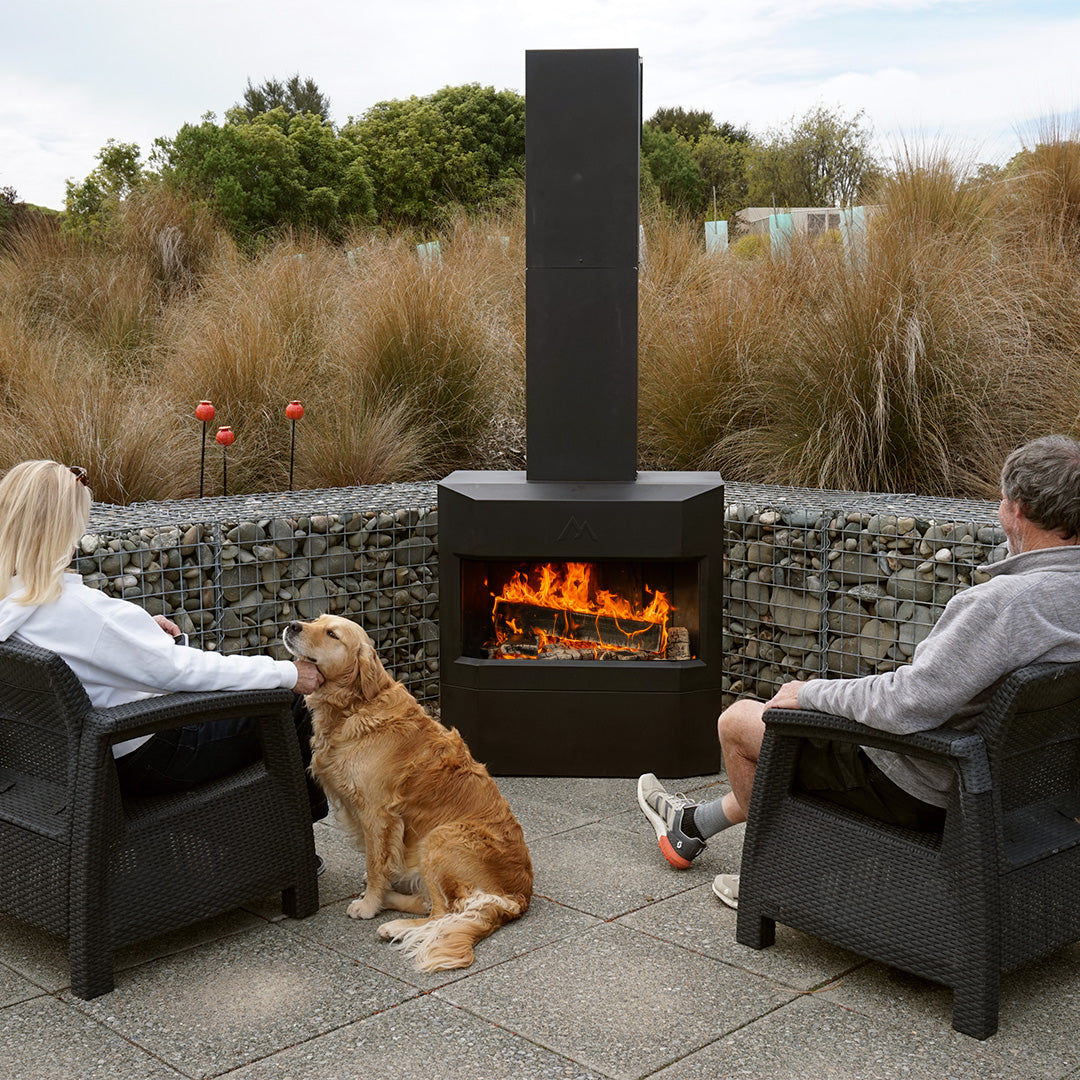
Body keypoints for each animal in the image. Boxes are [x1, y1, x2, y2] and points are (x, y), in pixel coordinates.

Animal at [280, 613, 529, 976]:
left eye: (332, 634)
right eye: (316, 620)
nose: (293, 625)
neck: (356, 705)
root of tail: (517, 896)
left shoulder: (377, 813)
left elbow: (375, 864)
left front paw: (369, 904)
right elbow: (380, 865)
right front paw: (378, 892)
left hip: (439, 839)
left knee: (442, 913)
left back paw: (391, 923)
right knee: (429, 904)